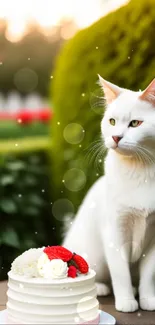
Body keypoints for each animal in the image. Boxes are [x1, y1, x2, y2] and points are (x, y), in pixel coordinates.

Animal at [62, 76, 155, 312]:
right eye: (112, 121)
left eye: (135, 124)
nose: (115, 137)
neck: (142, 171)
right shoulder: (114, 231)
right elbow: (120, 272)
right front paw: (126, 302)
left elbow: (149, 273)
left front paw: (148, 299)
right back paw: (102, 288)